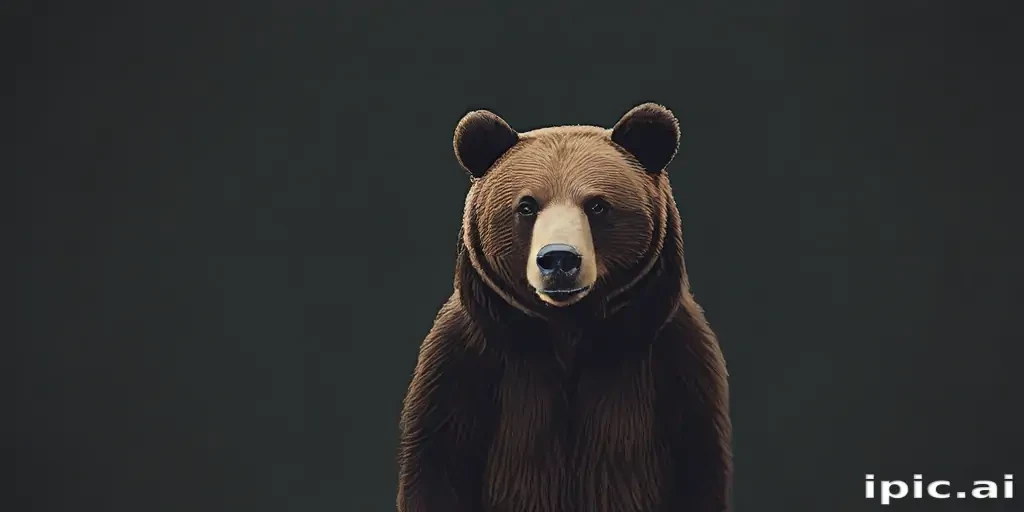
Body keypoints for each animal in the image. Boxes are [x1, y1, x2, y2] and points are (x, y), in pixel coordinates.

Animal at [396, 103, 732, 512]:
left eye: (598, 205)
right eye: (526, 206)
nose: (559, 259)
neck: (568, 327)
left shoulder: (674, 366)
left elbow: (695, 465)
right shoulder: (466, 364)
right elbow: (439, 463)